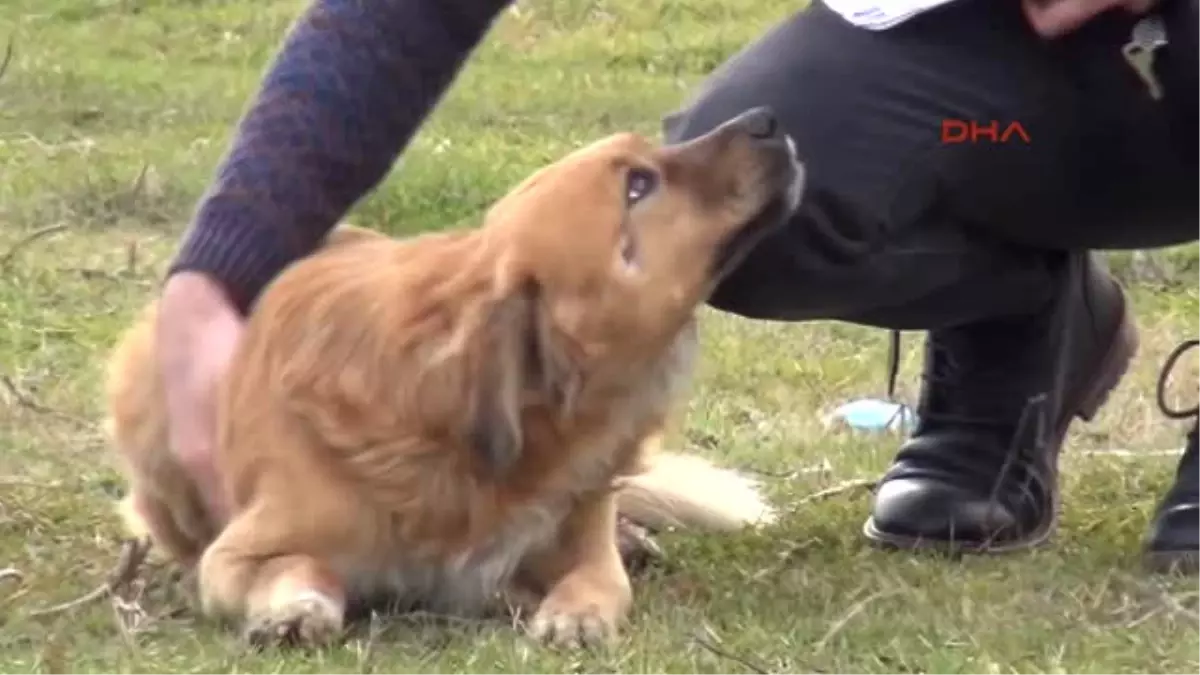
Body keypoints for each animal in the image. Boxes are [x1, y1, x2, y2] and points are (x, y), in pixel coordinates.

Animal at [105, 107, 806, 648]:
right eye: (639, 185)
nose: (768, 120)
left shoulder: (583, 537)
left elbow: (597, 579)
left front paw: (576, 614)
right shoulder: (234, 556)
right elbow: (300, 566)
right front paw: (296, 608)